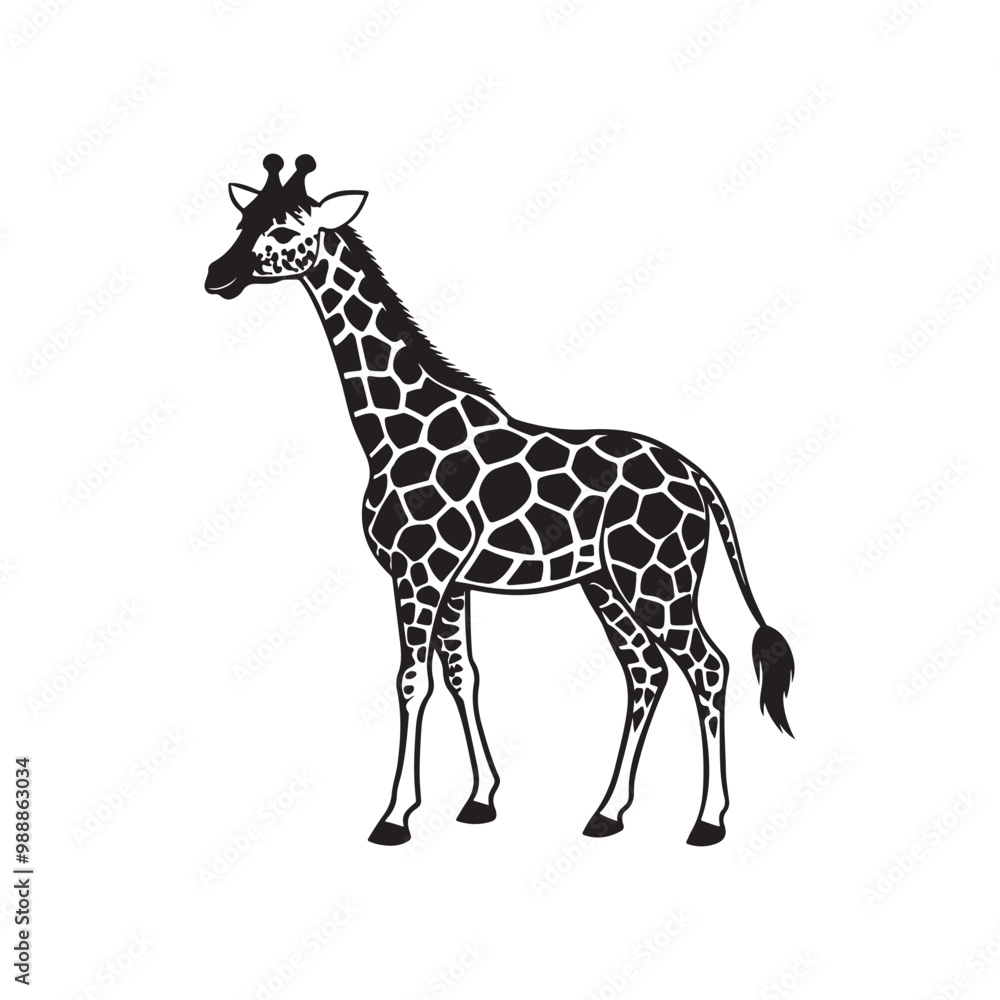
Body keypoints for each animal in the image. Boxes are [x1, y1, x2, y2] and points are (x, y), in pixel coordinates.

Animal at [205, 154, 795, 847]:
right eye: (243, 219)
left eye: (287, 226)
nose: (217, 275)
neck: (392, 430)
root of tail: (699, 479)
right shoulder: (450, 580)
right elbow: (464, 675)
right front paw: (480, 798)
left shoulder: (418, 573)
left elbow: (412, 682)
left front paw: (394, 817)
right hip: (606, 584)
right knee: (645, 671)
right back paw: (607, 812)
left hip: (660, 578)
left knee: (707, 665)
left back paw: (707, 820)